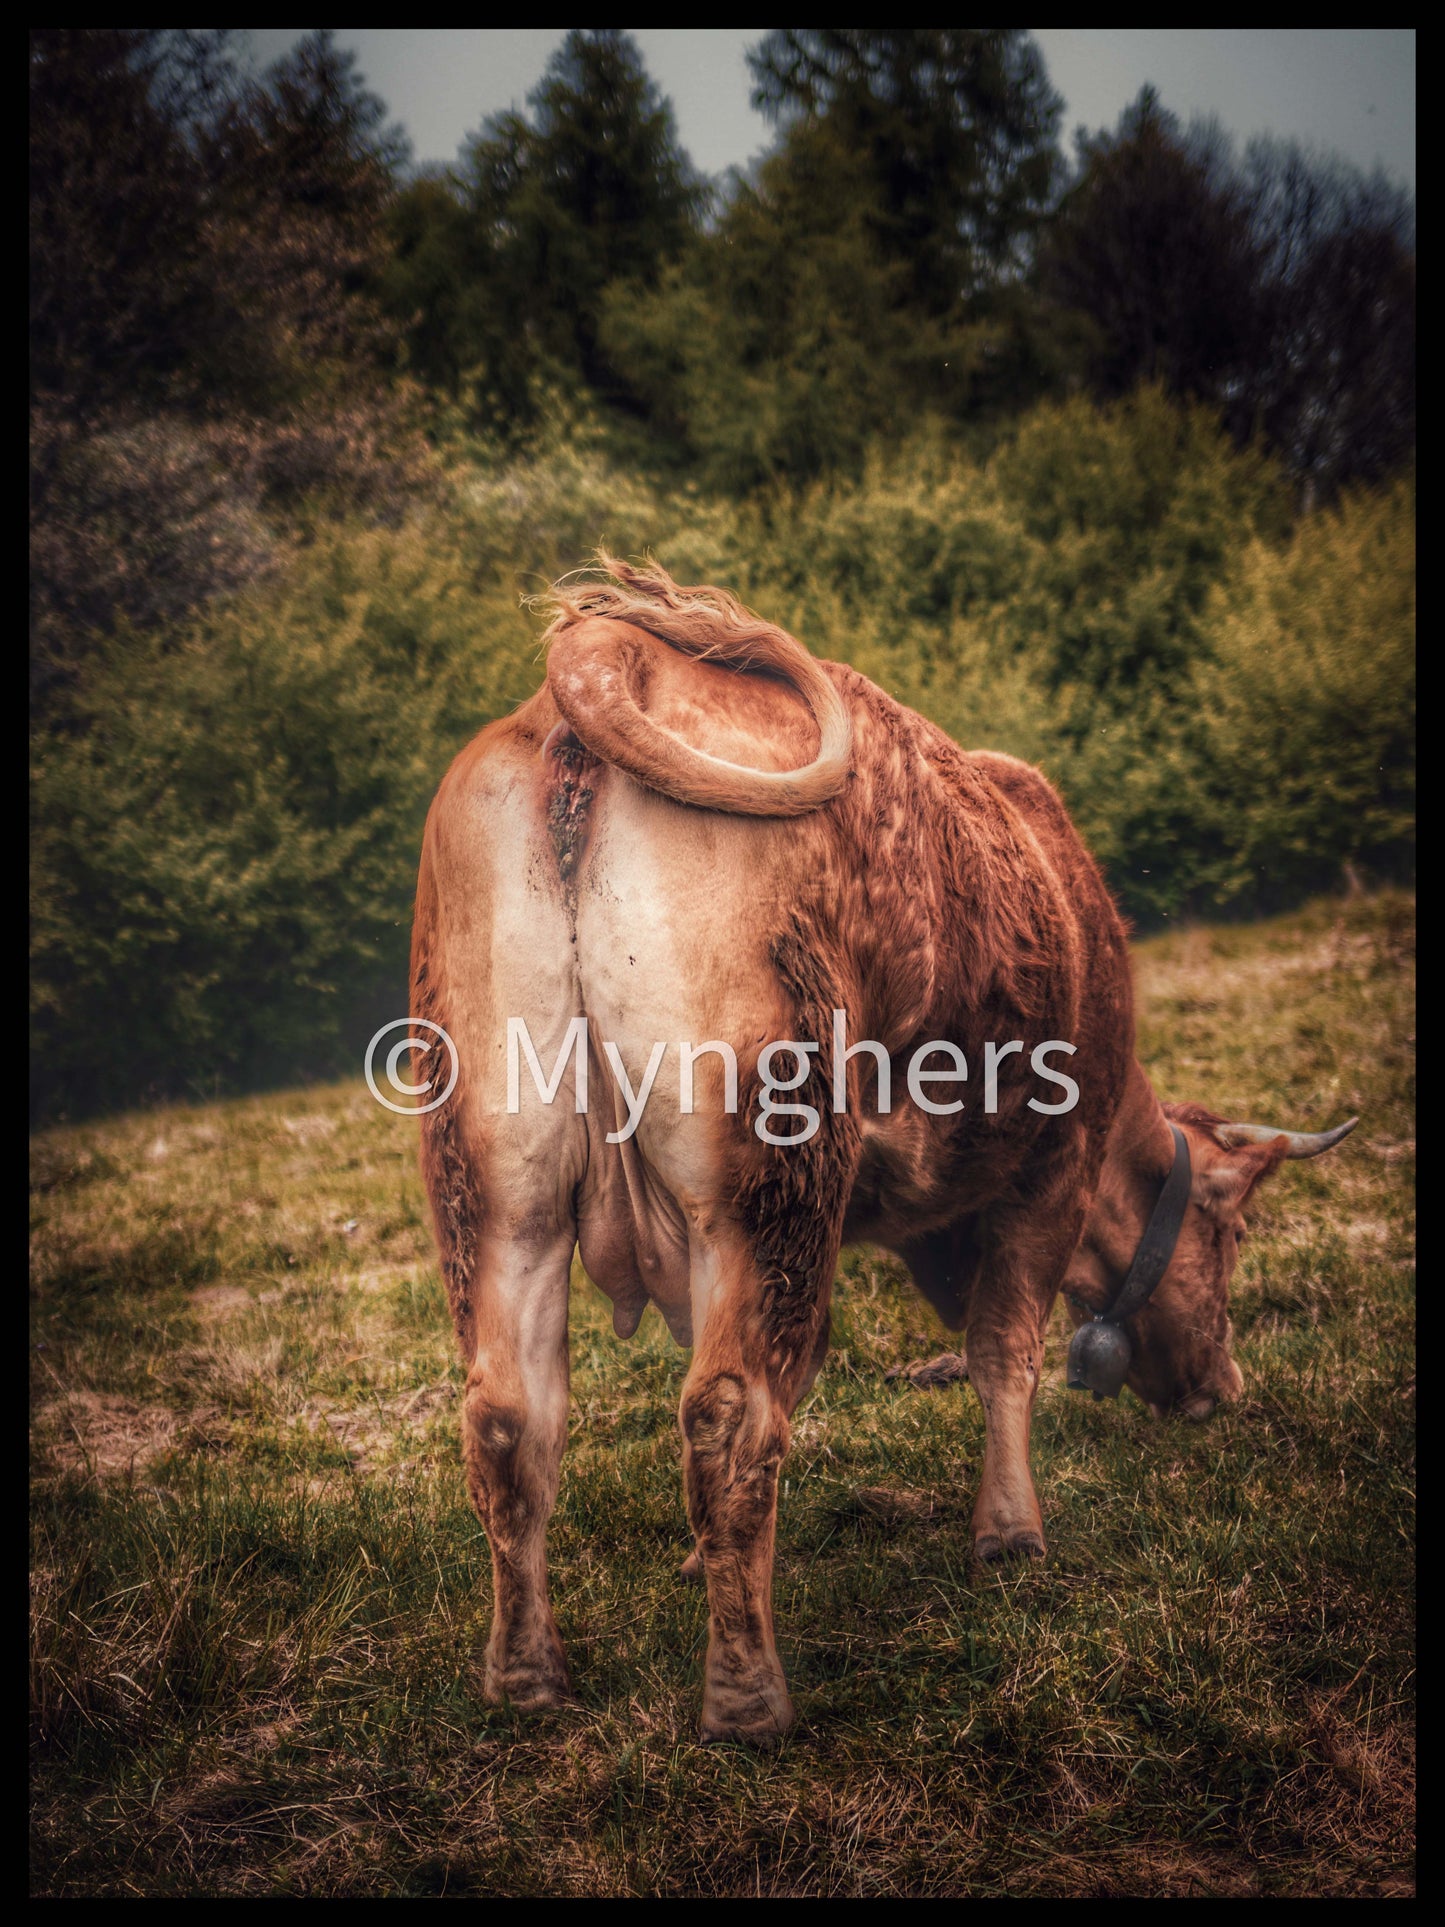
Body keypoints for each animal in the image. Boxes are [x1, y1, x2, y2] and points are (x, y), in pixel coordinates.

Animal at [410, 558, 1356, 1749]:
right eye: (1229, 1232)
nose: (1221, 1387)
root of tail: (598, 657)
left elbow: (813, 1361)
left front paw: (699, 1567)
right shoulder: (1052, 1168)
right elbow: (1004, 1350)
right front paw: (1010, 1533)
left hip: (500, 1191)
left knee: (509, 1417)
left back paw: (526, 1677)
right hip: (765, 1176)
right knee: (727, 1413)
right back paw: (748, 1699)